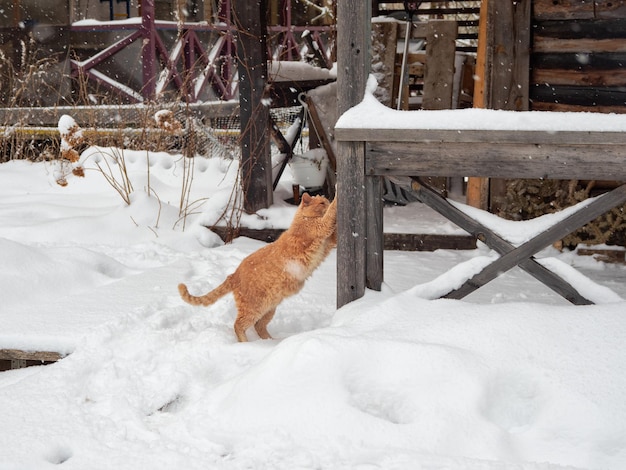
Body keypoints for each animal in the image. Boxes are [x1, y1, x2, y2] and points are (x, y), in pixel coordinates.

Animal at [178, 193, 336, 344]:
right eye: (322, 203)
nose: (326, 203)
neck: (302, 219)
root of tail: (234, 274)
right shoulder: (322, 227)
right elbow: (331, 214)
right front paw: (336, 197)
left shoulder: (328, 243)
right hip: (254, 309)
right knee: (238, 325)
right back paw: (249, 344)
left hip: (268, 309)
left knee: (259, 326)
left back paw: (270, 342)